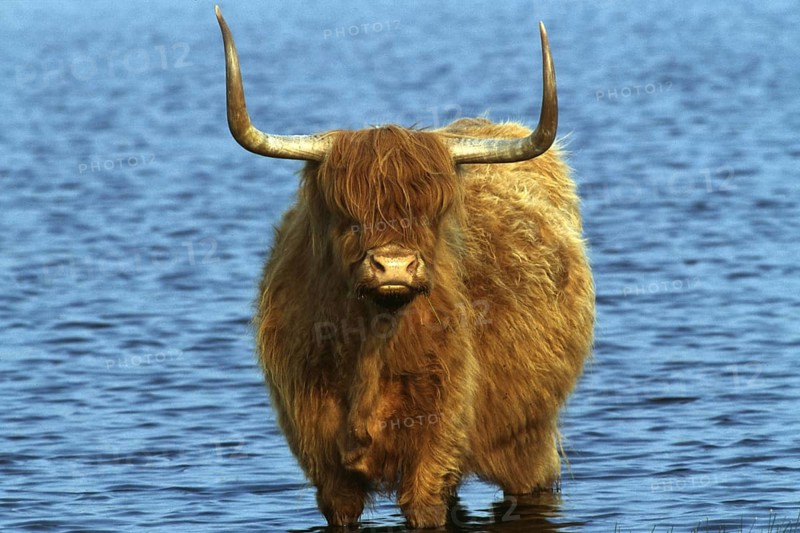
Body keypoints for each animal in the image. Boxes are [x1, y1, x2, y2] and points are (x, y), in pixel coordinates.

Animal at [215, 6, 594, 529]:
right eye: (348, 217)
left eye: (431, 214)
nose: (393, 265)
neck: (371, 348)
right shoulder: (325, 466)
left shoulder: (436, 447)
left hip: (529, 442)